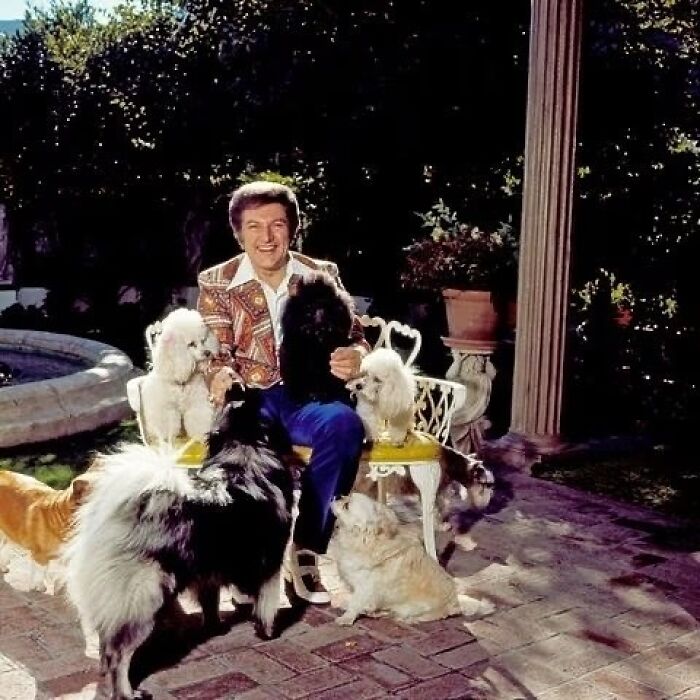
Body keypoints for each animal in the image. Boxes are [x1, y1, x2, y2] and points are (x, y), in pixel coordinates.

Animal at [65, 382, 292, 700]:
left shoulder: (208, 573)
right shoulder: (271, 565)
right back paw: (128, 692)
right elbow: (268, 604)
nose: (239, 385)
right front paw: (268, 632)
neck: (242, 451)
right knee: (119, 654)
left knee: (106, 647)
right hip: (145, 598)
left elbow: (210, 603)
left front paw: (215, 627)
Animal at [131, 308, 219, 442]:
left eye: (203, 340)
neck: (181, 383)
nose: (208, 352)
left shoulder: (196, 403)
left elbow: (199, 420)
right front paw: (167, 440)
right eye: (191, 344)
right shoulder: (166, 409)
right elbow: (167, 426)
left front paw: (201, 436)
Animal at [330, 492, 490, 624]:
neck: (364, 540)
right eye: (345, 497)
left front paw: (346, 618)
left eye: (346, 506)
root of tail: (455, 604)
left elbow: (355, 603)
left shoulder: (365, 586)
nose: (336, 496)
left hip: (411, 609)